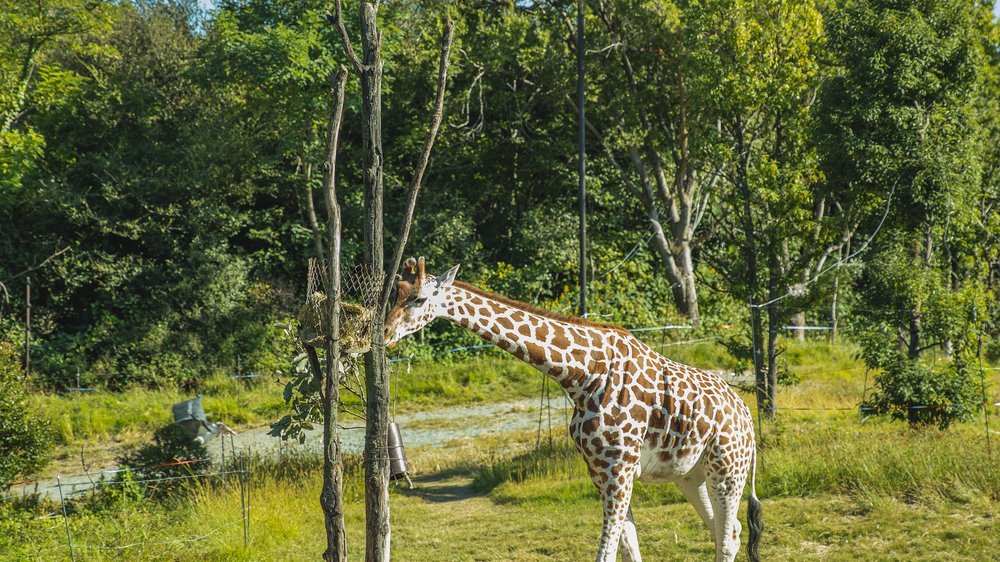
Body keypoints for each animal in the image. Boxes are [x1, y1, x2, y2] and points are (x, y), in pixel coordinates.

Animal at [386, 258, 760, 560]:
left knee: (728, 536)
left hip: (728, 470)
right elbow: (628, 546)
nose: (386, 333)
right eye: (395, 296)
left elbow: (606, 552)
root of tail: (746, 415)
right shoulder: (599, 471)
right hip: (691, 475)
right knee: (726, 531)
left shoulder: (620, 469)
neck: (582, 376)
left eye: (419, 299)